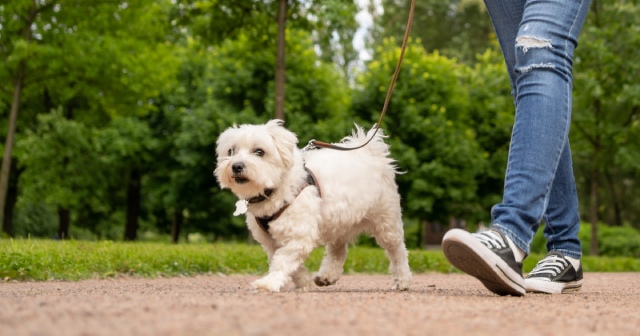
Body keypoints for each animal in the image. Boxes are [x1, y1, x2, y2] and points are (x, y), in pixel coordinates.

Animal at [212, 120, 412, 292]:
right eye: (231, 151)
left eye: (259, 151)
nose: (236, 166)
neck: (276, 190)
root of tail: (370, 155)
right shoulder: (271, 242)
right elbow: (291, 264)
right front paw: (303, 281)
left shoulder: (300, 236)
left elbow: (283, 261)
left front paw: (269, 283)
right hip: (339, 221)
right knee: (338, 251)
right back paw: (327, 275)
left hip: (386, 222)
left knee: (398, 251)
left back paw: (402, 280)